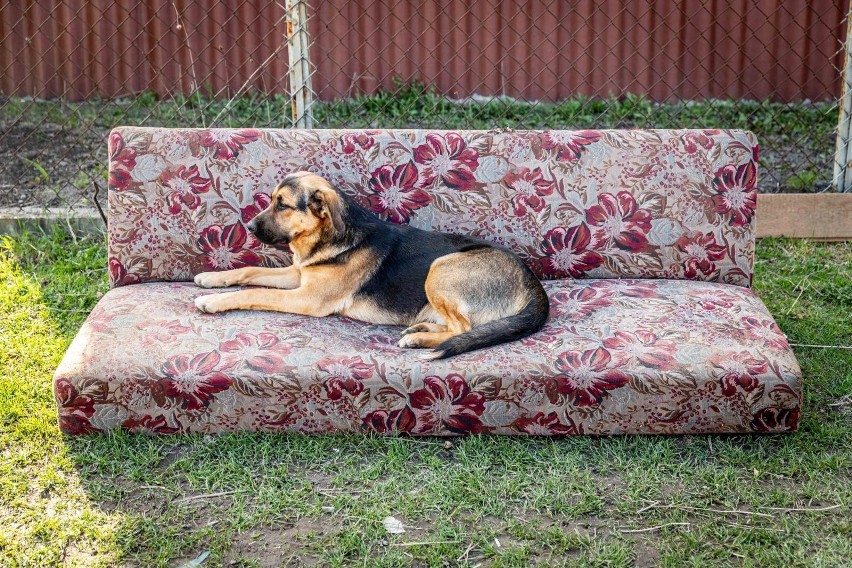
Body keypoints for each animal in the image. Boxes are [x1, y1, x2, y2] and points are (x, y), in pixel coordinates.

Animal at [196, 170, 548, 360]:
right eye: (272, 200)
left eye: (282, 205)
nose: (249, 226)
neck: (331, 236)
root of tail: (533, 283)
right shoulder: (298, 274)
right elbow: (250, 272)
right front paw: (210, 278)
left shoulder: (307, 298)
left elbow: (254, 291)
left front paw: (212, 300)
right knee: (459, 327)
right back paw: (422, 328)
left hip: (441, 267)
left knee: (464, 328)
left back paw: (418, 339)